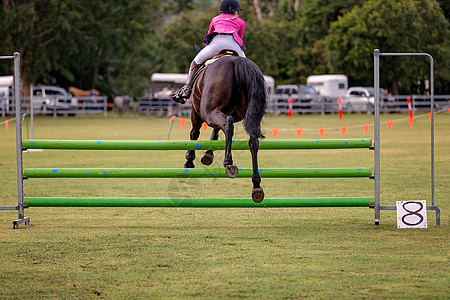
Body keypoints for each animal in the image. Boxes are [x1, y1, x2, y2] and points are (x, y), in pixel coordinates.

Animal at [184, 55, 266, 203]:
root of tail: (236, 61)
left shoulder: (196, 113)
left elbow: (194, 134)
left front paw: (189, 160)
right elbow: (216, 131)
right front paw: (208, 154)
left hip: (206, 111)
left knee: (228, 125)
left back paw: (228, 162)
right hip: (251, 116)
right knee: (253, 142)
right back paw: (256, 185)